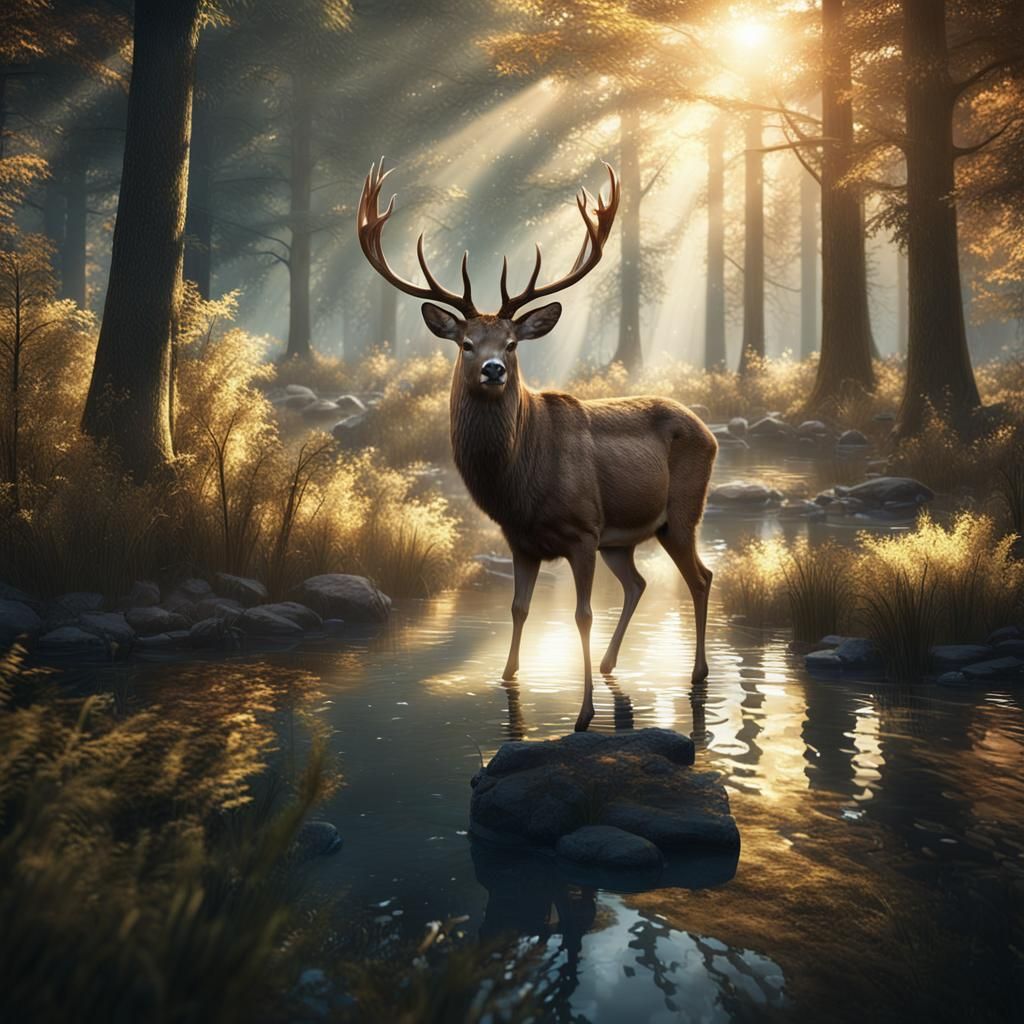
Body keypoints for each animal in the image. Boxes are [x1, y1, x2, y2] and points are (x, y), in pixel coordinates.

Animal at [357, 160, 717, 731]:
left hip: (681, 512)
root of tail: (710, 431)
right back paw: (614, 663)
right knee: (639, 583)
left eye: (511, 343)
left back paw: (698, 674)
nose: (493, 369)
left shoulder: (583, 529)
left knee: (701, 576)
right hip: (621, 539)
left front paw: (584, 714)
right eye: (466, 344)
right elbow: (518, 608)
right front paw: (506, 679)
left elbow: (581, 614)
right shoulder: (521, 540)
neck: (523, 482)